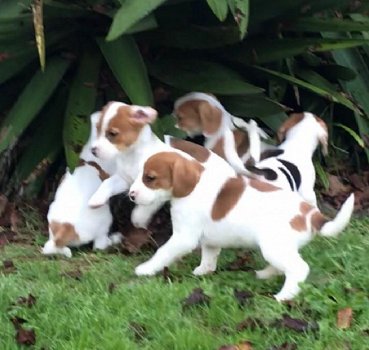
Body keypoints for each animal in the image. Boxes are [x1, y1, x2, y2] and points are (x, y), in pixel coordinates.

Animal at [129, 152, 354, 302]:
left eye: (150, 178)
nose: (131, 195)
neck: (194, 184)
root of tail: (311, 214)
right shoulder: (210, 239)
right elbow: (209, 256)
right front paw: (203, 271)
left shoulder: (183, 238)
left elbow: (162, 252)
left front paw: (146, 269)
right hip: (279, 248)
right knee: (284, 266)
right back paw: (266, 274)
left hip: (274, 247)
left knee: (298, 269)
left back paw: (284, 295)